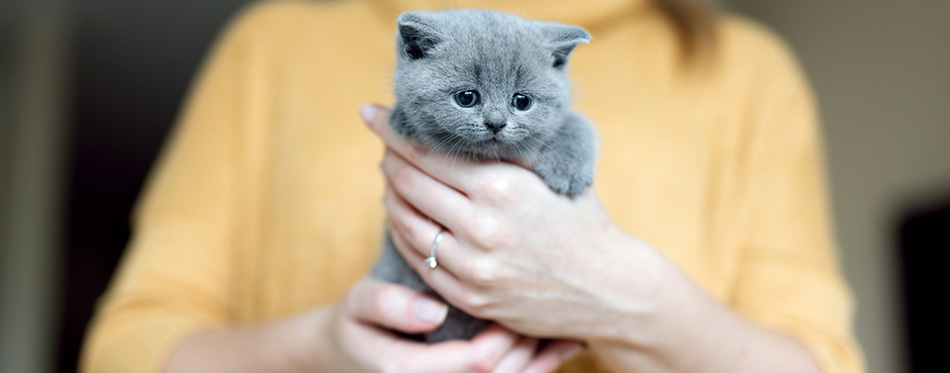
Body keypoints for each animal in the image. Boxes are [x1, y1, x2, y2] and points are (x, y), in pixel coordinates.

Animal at [370, 8, 600, 342]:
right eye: (466, 97)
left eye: (522, 101)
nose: (496, 122)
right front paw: (401, 118)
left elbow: (577, 123)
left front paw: (568, 170)